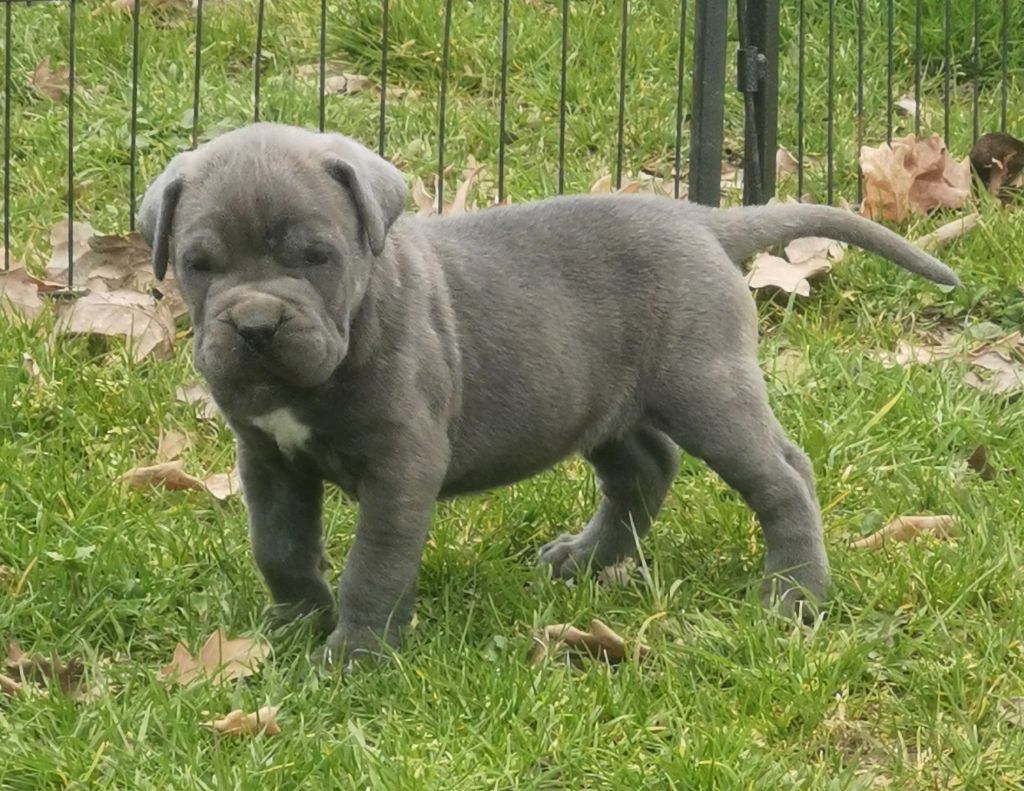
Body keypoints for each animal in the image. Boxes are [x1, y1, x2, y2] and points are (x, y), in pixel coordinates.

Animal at [139, 123, 959, 666]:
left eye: (317, 256)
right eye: (199, 263)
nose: (255, 326)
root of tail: (700, 219)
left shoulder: (400, 466)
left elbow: (373, 564)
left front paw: (356, 653)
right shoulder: (268, 460)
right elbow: (277, 545)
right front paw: (293, 621)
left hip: (707, 387)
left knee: (784, 476)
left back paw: (794, 594)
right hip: (603, 400)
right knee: (645, 470)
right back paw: (585, 559)